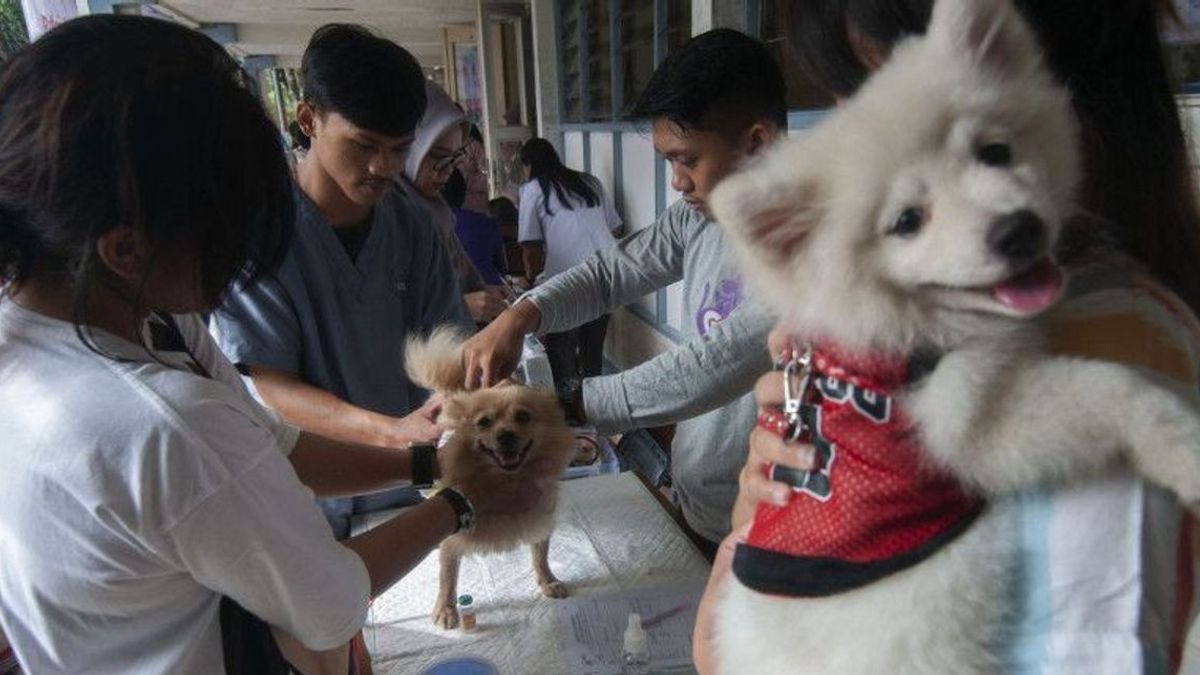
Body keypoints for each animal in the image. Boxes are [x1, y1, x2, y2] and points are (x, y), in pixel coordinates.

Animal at [405, 329, 573, 629]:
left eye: (523, 416)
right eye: (483, 423)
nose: (506, 435)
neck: (508, 478)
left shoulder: (540, 516)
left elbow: (540, 554)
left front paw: (548, 581)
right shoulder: (452, 536)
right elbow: (448, 575)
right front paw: (446, 608)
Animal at [700, 0, 1200, 667]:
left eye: (995, 152)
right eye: (907, 222)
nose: (1017, 230)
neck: (919, 326)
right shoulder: (966, 418)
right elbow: (1114, 388)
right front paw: (1185, 450)